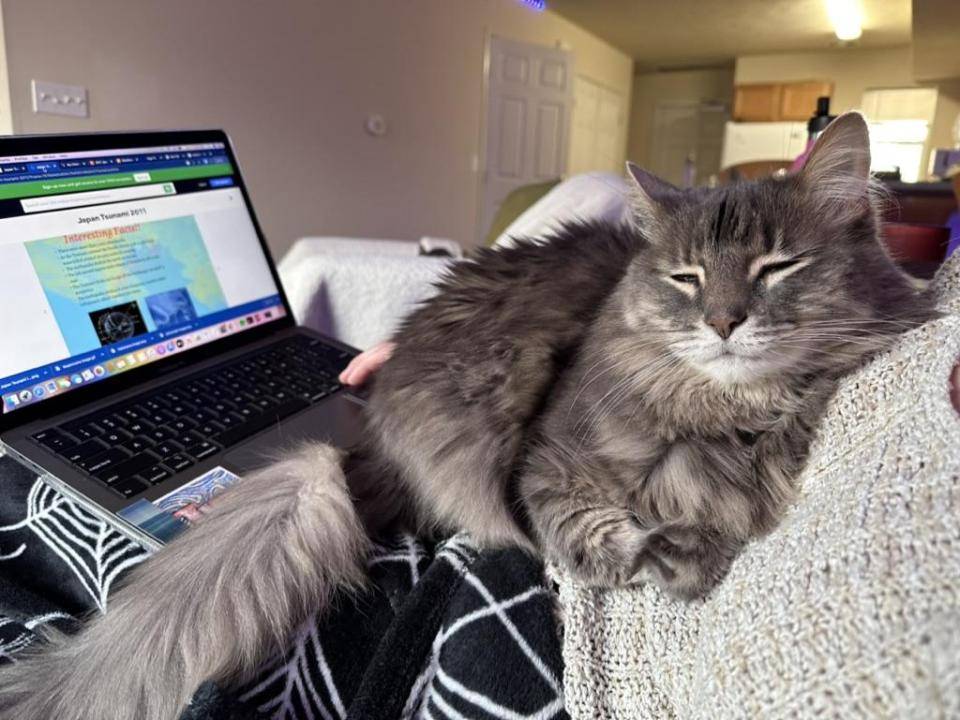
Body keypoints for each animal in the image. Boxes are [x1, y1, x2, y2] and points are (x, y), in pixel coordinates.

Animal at [0, 114, 928, 720]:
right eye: (686, 279)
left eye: (777, 267)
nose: (725, 322)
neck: (721, 409)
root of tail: (365, 443)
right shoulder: (545, 463)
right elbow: (588, 530)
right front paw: (658, 556)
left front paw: (690, 547)